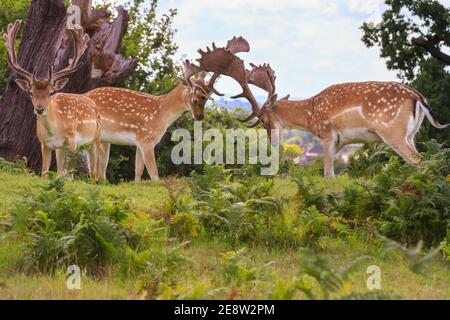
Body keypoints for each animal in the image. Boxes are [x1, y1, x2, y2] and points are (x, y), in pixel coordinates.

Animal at [3, 21, 100, 179]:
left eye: (51, 92)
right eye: (31, 92)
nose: (39, 109)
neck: (54, 130)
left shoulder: (72, 141)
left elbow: (69, 176)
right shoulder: (45, 144)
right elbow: (45, 173)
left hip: (96, 139)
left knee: (95, 171)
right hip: (62, 149)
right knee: (63, 171)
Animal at [86, 36, 251, 181]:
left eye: (207, 99)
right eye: (195, 99)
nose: (200, 116)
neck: (161, 112)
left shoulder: (140, 142)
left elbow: (138, 174)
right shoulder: (146, 139)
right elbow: (155, 176)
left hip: (104, 140)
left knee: (99, 173)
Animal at [198, 38, 450, 180]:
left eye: (265, 121)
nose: (273, 141)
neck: (311, 116)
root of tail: (418, 97)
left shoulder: (328, 134)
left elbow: (328, 175)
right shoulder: (339, 142)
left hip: (393, 133)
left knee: (419, 161)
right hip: (411, 134)